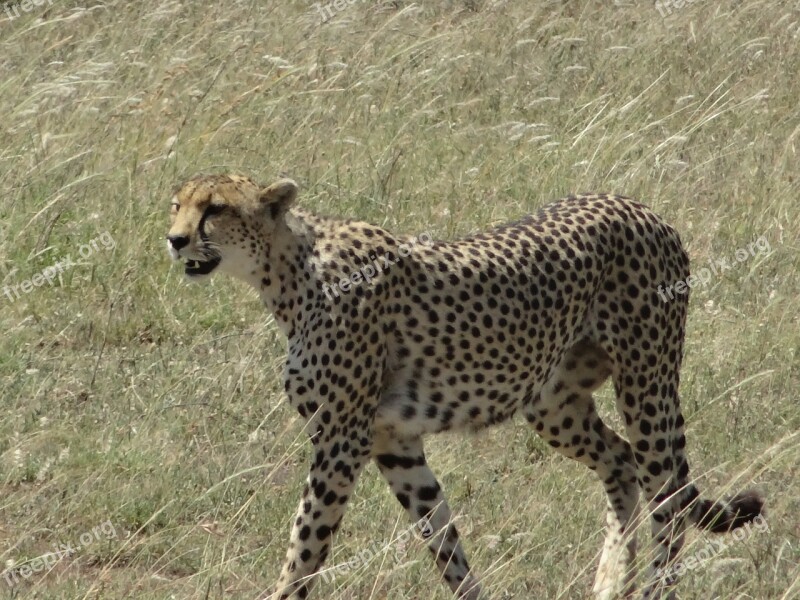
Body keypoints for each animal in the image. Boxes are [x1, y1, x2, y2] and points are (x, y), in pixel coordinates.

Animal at [167, 173, 764, 600]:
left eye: (215, 209)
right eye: (177, 205)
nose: (174, 240)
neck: (287, 272)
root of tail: (639, 206)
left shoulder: (341, 441)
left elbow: (306, 544)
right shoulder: (393, 441)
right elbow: (442, 540)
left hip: (647, 382)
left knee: (669, 498)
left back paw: (651, 587)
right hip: (552, 400)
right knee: (621, 462)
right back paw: (611, 582)